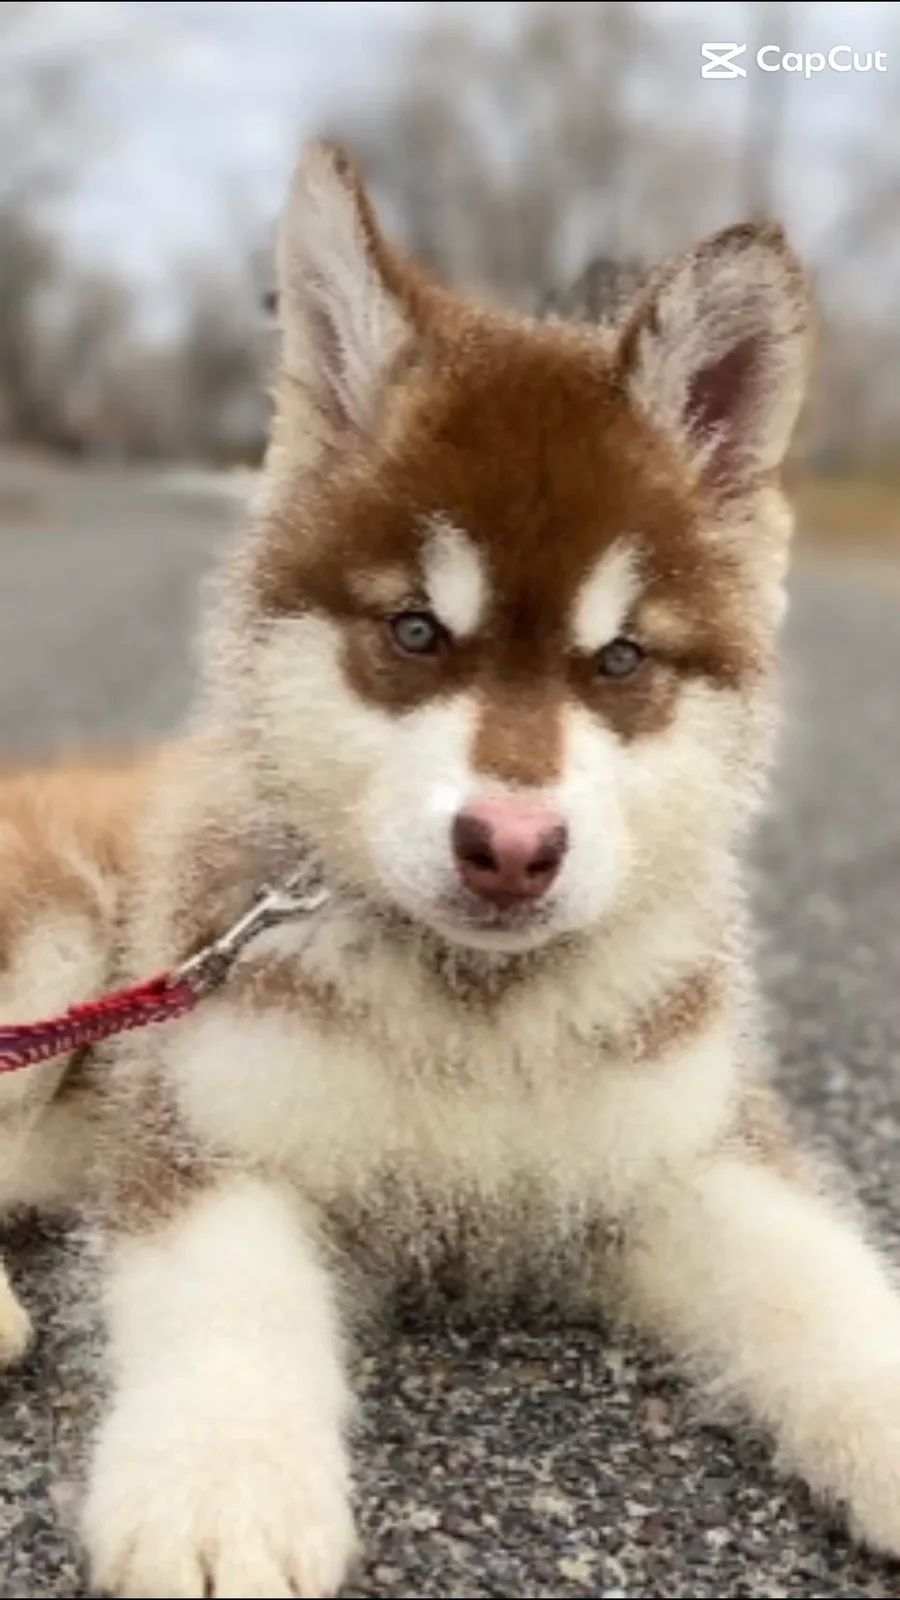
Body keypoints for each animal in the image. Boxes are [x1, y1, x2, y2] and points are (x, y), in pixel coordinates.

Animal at [5, 142, 900, 1599]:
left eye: (621, 659)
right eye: (417, 631)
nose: (512, 848)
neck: (473, 1014)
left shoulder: (690, 1147)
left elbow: (821, 1283)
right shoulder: (207, 1138)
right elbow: (225, 1301)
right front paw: (221, 1491)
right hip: (58, 944)